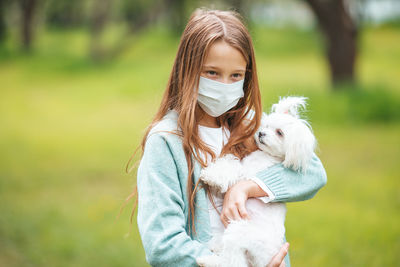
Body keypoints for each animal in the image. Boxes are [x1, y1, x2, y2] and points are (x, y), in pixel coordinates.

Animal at [196, 97, 316, 267]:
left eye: (279, 132)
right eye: (265, 126)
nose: (261, 133)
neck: (266, 156)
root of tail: (264, 258)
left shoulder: (245, 176)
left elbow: (232, 169)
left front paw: (211, 175)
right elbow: (230, 164)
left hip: (239, 230)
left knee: (233, 261)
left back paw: (207, 260)